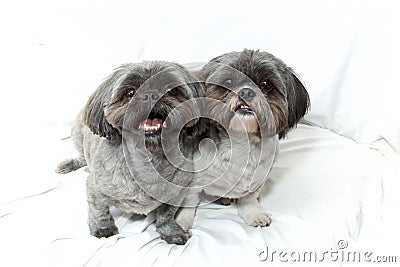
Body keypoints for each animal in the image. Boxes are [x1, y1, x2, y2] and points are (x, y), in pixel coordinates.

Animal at [56, 61, 205, 245]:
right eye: (130, 92)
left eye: (171, 90)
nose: (150, 94)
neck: (149, 159)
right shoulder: (95, 187)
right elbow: (98, 209)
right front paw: (103, 228)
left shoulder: (176, 194)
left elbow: (166, 215)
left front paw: (171, 231)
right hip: (77, 133)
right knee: (82, 156)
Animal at [175, 49, 310, 230]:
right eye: (228, 81)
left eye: (266, 84)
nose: (246, 91)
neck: (240, 142)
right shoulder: (192, 179)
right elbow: (187, 202)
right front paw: (181, 221)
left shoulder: (257, 178)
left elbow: (249, 198)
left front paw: (254, 213)